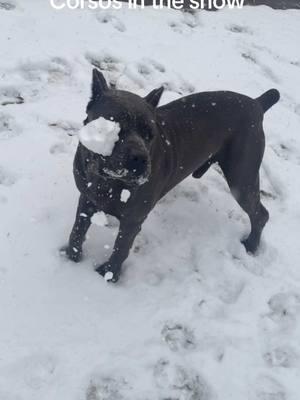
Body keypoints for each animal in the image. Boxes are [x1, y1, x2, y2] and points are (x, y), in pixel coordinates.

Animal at [61, 68, 282, 282]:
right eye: (114, 126)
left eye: (150, 135)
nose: (140, 158)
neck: (106, 181)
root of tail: (256, 103)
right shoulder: (86, 198)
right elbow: (77, 230)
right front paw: (71, 256)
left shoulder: (133, 219)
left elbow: (121, 247)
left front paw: (109, 274)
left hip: (242, 178)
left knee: (260, 214)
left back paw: (251, 245)